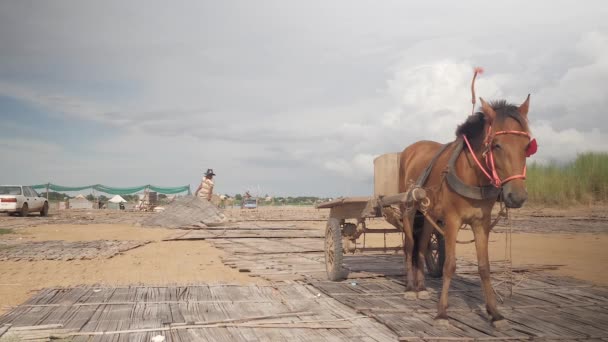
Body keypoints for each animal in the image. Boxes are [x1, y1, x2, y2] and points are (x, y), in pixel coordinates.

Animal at [402, 94, 536, 328]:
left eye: (527, 145)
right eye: (496, 145)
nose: (517, 196)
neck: (472, 174)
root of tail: (412, 148)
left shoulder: (481, 222)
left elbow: (484, 267)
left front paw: (494, 313)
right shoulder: (452, 220)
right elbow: (449, 265)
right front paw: (442, 312)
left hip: (429, 215)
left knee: (422, 245)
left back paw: (421, 287)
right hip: (410, 209)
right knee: (410, 246)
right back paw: (411, 288)